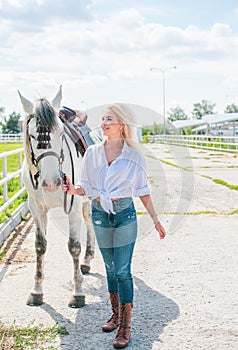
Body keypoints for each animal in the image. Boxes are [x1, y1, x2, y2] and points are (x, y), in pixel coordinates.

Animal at [18, 86, 95, 308]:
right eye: (32, 135)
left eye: (61, 133)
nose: (52, 182)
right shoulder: (36, 208)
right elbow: (40, 245)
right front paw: (36, 291)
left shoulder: (73, 205)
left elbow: (74, 246)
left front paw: (78, 293)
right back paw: (86, 262)